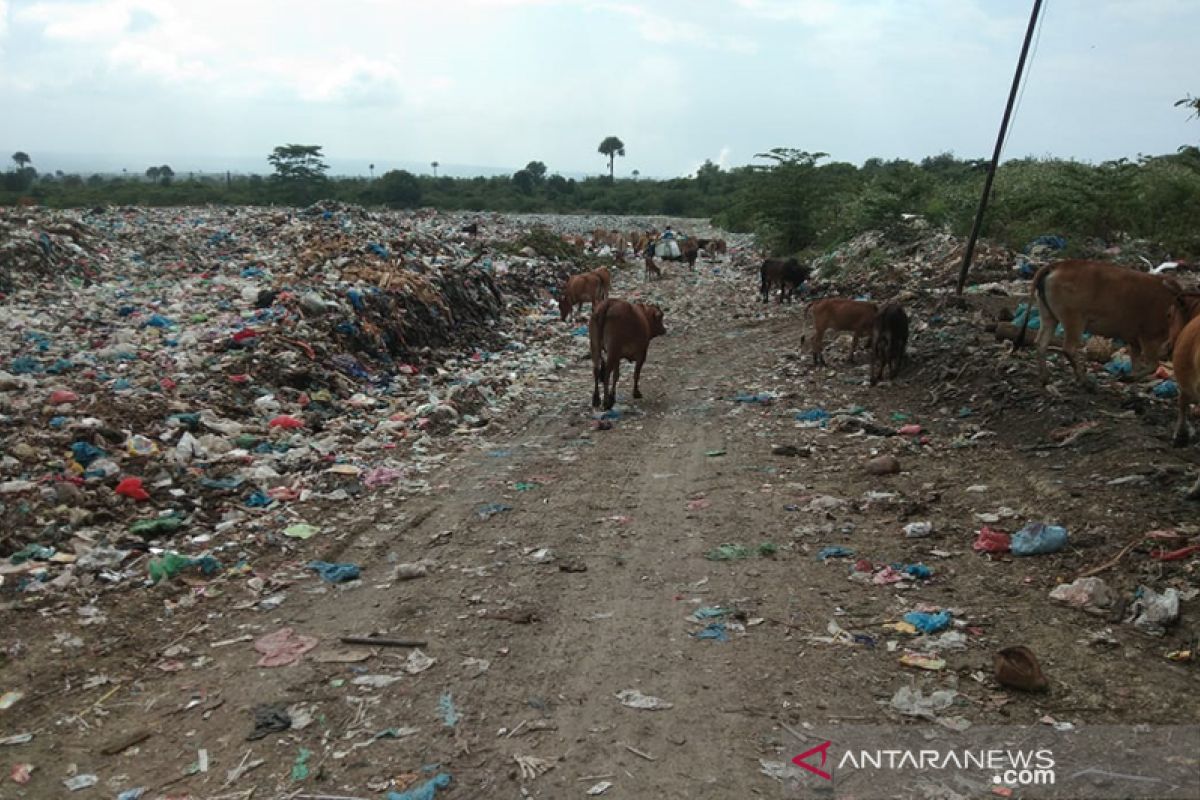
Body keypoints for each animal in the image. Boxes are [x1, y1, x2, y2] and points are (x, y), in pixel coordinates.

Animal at [1012, 260, 1180, 391]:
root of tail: (1058, 265)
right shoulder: (1150, 336)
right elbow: (1152, 365)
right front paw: (1128, 378)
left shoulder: (1135, 341)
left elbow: (1137, 363)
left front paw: (1131, 380)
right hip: (1074, 320)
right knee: (1069, 348)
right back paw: (1084, 381)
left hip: (1049, 316)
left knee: (1041, 343)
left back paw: (1045, 377)